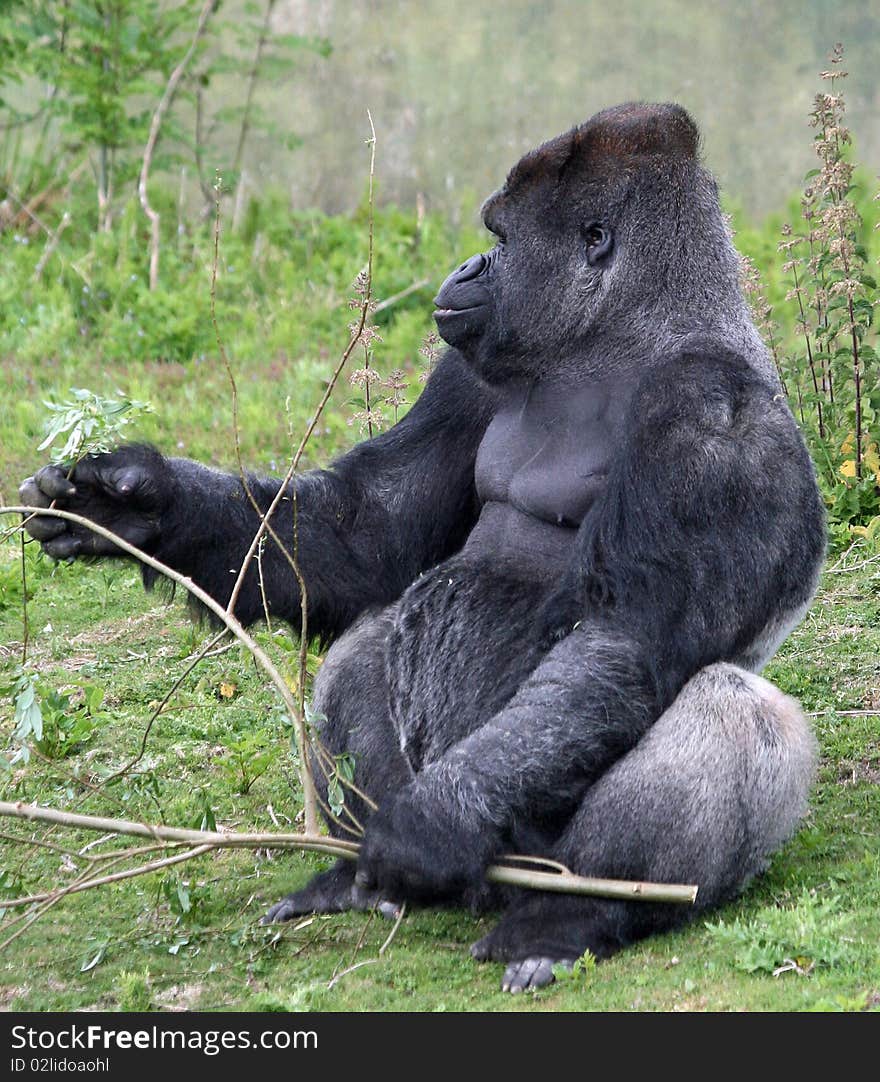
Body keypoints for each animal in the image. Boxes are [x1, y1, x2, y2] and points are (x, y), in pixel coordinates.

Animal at [24, 105, 826, 991]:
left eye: (502, 238)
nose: (469, 265)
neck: (620, 337)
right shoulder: (467, 373)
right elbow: (362, 535)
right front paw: (134, 502)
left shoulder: (708, 416)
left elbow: (623, 637)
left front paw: (430, 826)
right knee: (365, 636)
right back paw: (351, 879)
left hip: (529, 857)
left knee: (729, 708)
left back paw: (570, 914)